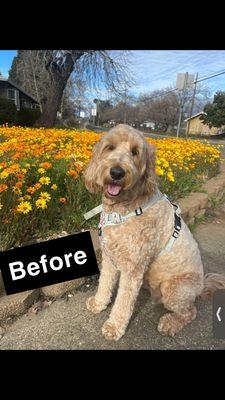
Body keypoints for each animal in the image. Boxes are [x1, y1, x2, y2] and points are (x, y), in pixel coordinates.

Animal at [83, 123, 225, 340]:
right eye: (110, 147)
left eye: (135, 152)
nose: (117, 172)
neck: (123, 207)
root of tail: (201, 286)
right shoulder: (109, 257)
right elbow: (105, 282)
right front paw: (99, 303)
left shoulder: (133, 267)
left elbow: (123, 301)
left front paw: (114, 327)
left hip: (173, 288)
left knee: (190, 312)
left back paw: (169, 323)